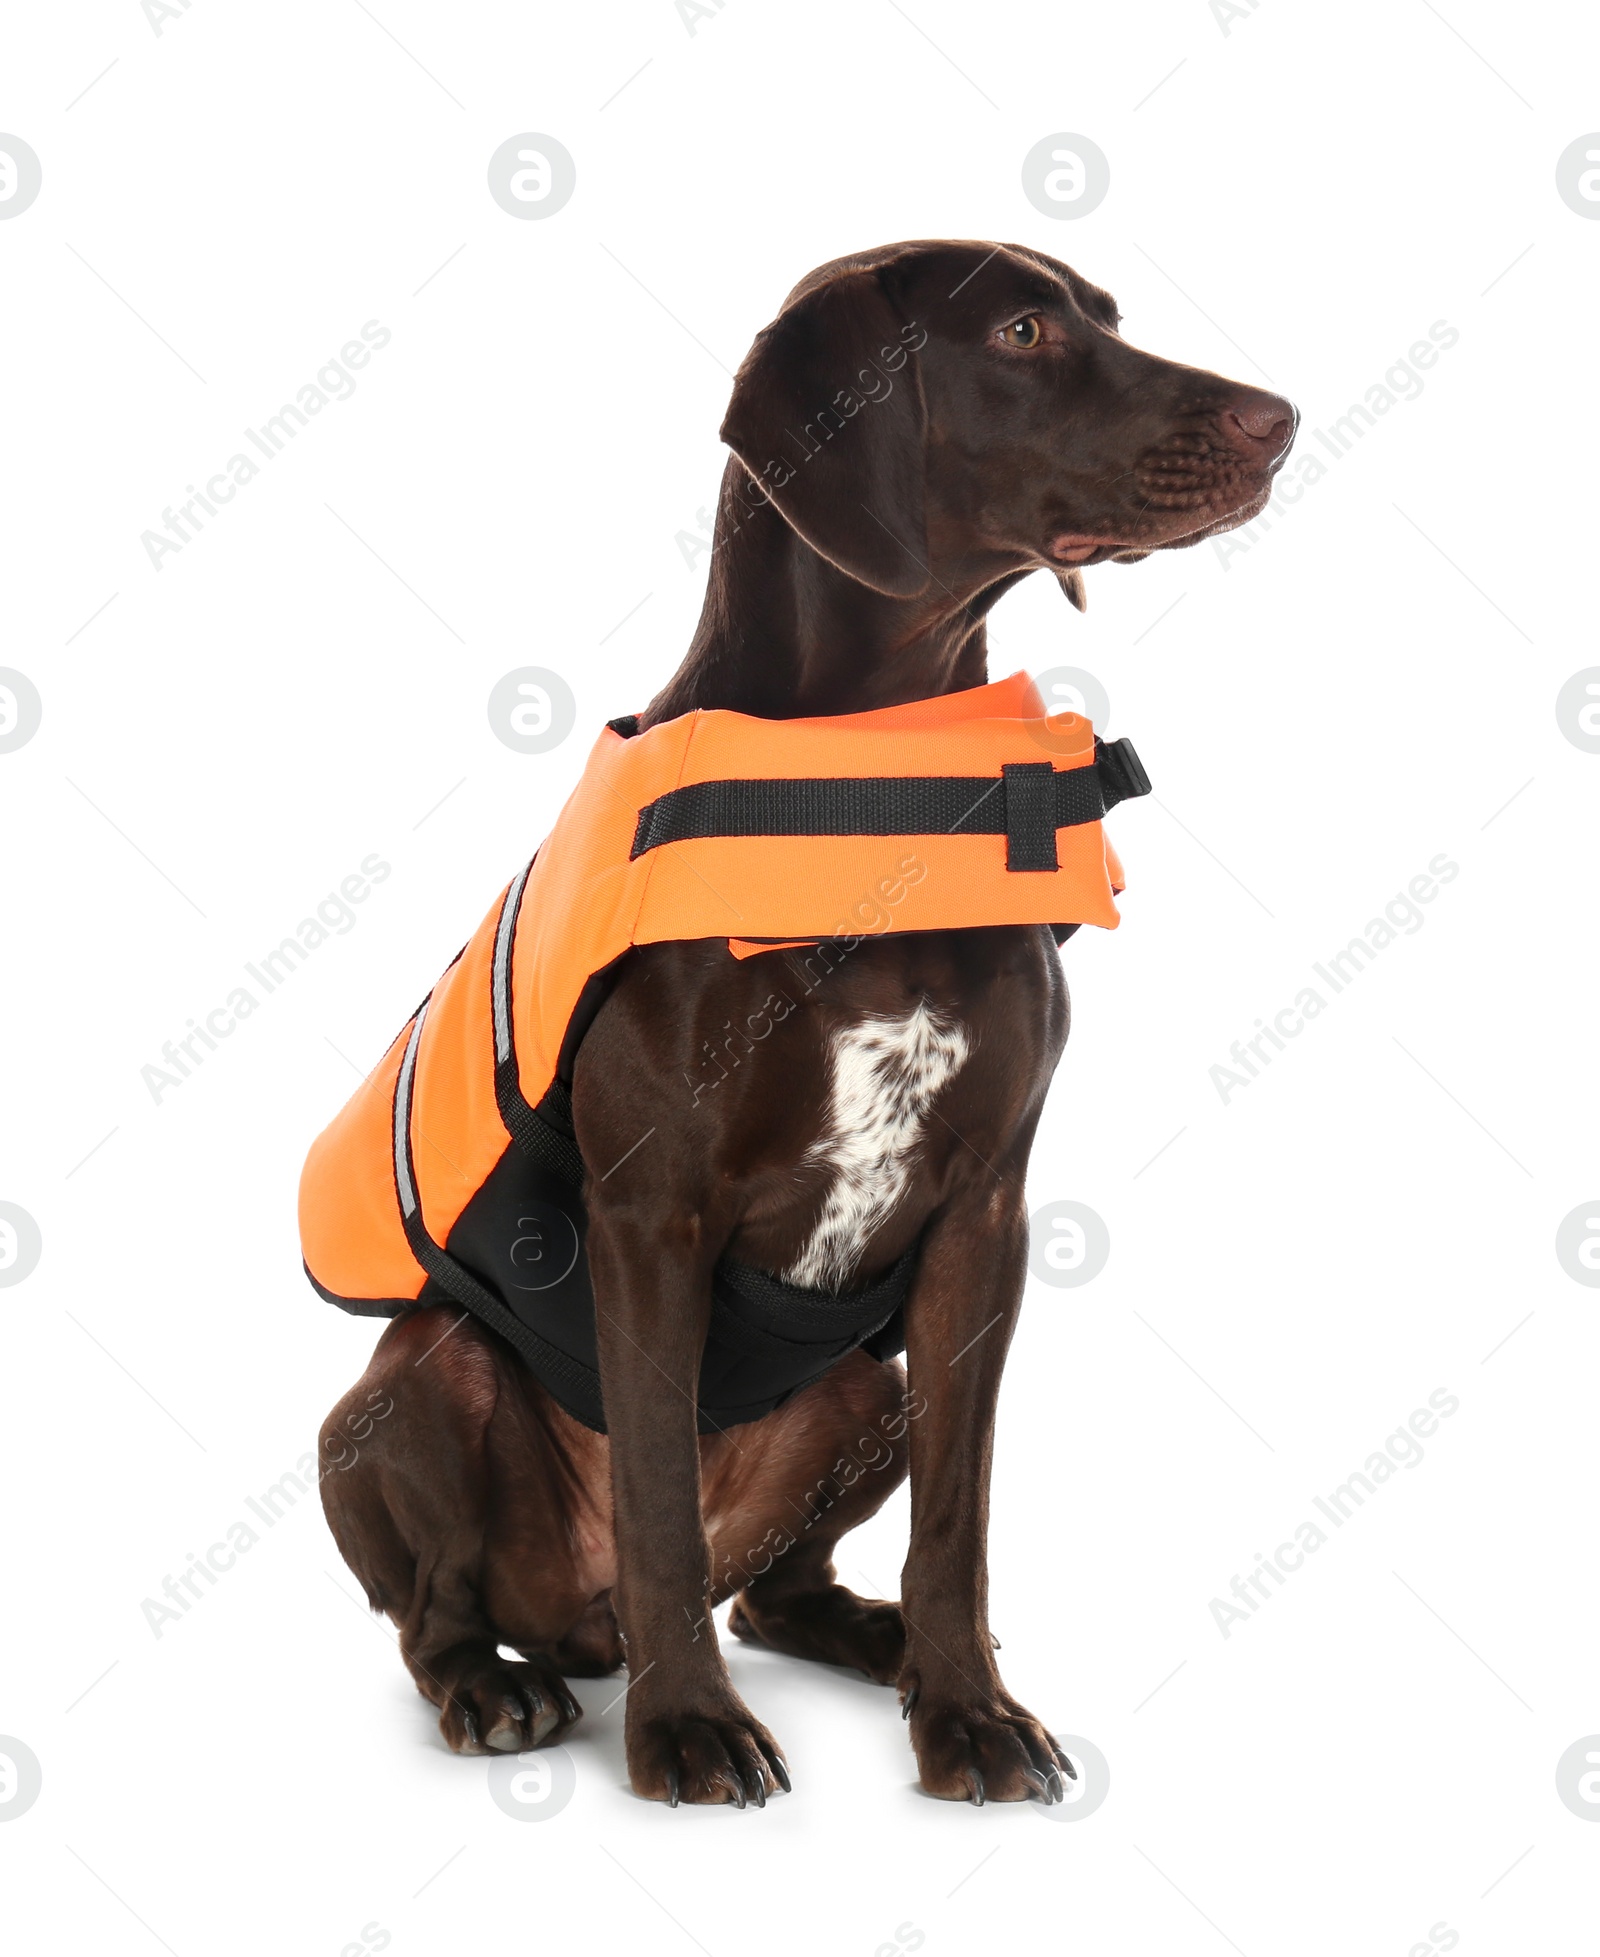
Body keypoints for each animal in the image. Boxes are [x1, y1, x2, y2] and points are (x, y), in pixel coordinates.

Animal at [318, 240, 1290, 1800]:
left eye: (1106, 318)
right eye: (1023, 332)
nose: (1282, 418)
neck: (866, 781)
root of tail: (577, 1621)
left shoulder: (983, 1218)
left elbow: (959, 1522)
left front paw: (969, 1711)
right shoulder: (651, 1213)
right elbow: (656, 1496)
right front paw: (687, 1729)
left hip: (861, 1390)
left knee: (776, 1590)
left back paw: (887, 1646)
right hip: (406, 1392)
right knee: (443, 1610)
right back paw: (504, 1686)